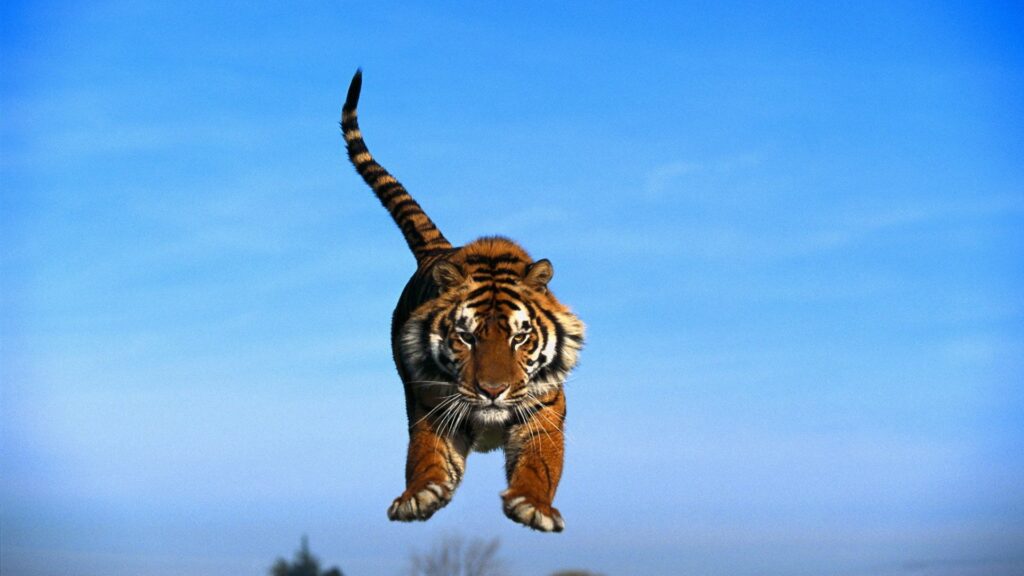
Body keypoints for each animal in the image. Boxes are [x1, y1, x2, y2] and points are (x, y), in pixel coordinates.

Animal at [340, 69, 584, 532]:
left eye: (520, 338)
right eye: (466, 337)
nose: (492, 391)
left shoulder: (543, 411)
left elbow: (541, 464)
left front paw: (533, 506)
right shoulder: (432, 406)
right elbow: (427, 457)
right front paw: (418, 497)